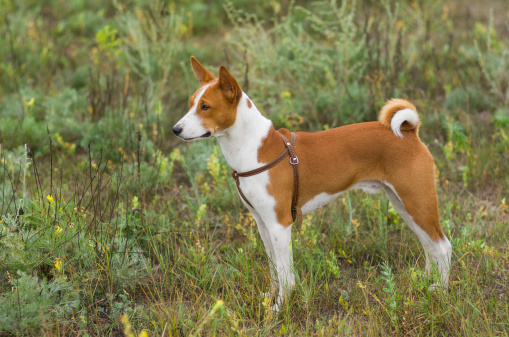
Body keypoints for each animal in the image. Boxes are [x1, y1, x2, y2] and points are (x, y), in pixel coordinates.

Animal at [173, 55, 450, 310]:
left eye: (205, 107)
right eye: (191, 104)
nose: (175, 129)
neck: (254, 150)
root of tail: (409, 131)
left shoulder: (280, 225)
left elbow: (285, 275)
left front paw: (280, 307)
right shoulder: (262, 223)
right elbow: (273, 269)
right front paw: (270, 297)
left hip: (418, 203)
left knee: (443, 246)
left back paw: (441, 290)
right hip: (405, 205)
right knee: (429, 245)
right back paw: (425, 280)